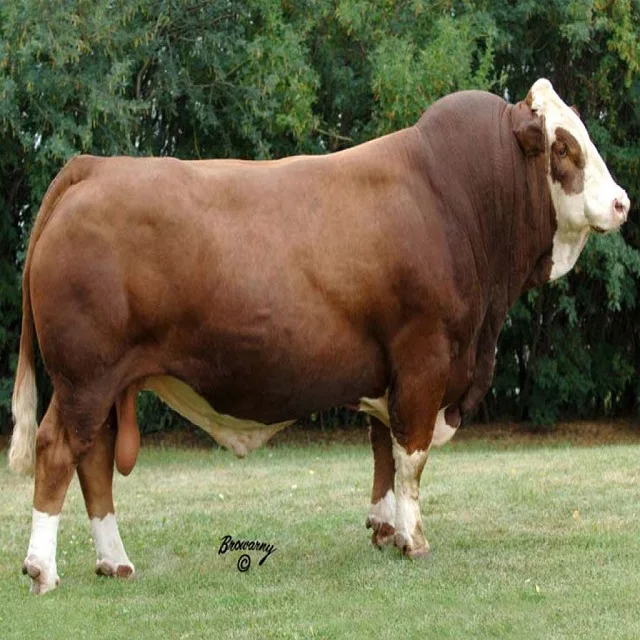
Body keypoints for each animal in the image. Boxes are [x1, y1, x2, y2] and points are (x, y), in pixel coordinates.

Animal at [8, 79, 629, 594]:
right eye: (564, 148)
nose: (622, 202)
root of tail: (95, 167)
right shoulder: (425, 358)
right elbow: (412, 457)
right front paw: (415, 541)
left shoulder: (390, 369)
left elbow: (384, 451)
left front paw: (384, 530)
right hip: (85, 376)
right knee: (58, 449)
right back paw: (42, 569)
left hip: (106, 383)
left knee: (94, 458)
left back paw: (114, 562)